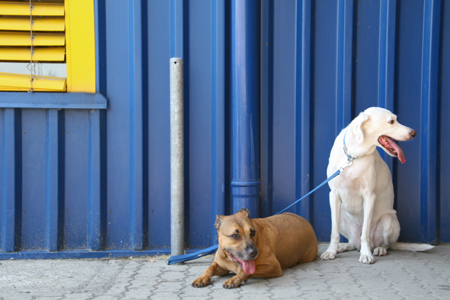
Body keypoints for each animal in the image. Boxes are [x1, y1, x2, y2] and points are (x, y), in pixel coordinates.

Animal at [320, 106, 432, 264]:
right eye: (391, 121)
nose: (414, 133)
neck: (354, 156)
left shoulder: (369, 196)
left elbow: (365, 232)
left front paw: (366, 254)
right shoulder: (334, 194)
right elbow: (334, 232)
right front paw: (331, 251)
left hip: (389, 220)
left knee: (385, 244)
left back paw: (379, 249)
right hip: (341, 215)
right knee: (352, 242)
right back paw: (343, 246)